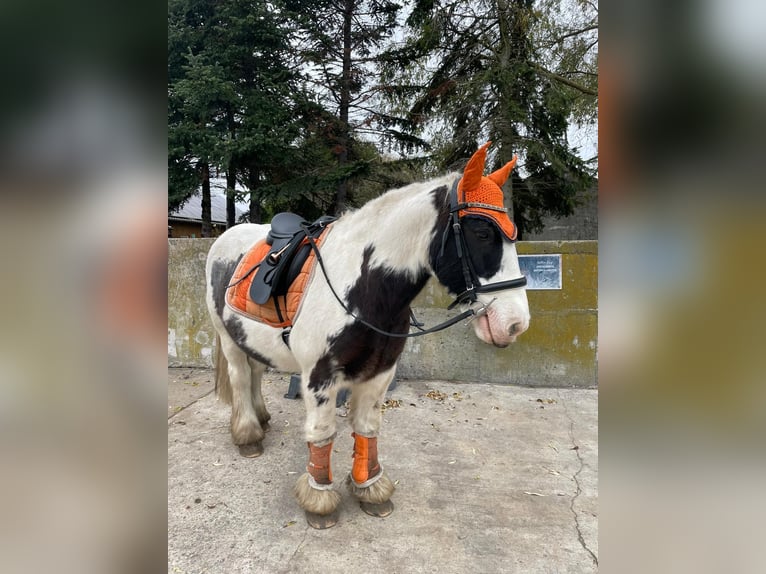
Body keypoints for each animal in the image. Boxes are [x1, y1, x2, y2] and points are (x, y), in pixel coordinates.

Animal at [202, 143, 536, 532]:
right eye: (482, 233)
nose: (515, 323)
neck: (364, 288)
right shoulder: (319, 377)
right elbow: (322, 432)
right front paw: (320, 500)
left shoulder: (380, 372)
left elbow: (366, 429)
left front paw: (371, 489)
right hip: (227, 338)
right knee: (241, 378)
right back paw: (248, 435)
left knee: (255, 372)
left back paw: (261, 418)